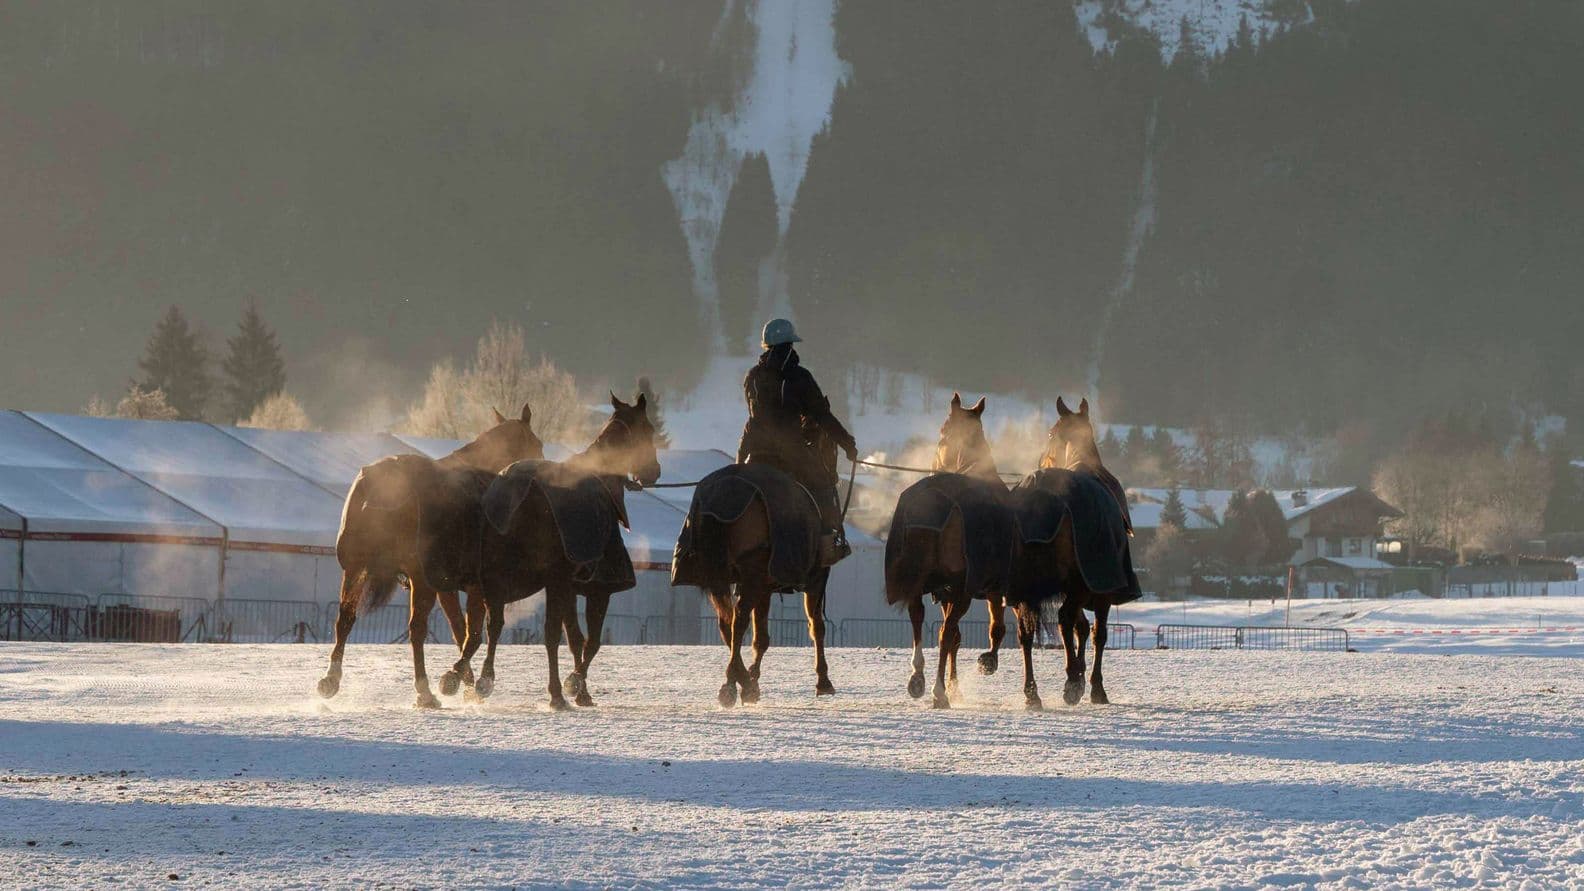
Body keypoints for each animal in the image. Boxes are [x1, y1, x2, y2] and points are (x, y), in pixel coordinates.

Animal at [318, 403, 543, 708]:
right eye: (538, 444)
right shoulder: (465, 585)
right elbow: (470, 633)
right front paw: (462, 681)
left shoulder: (447, 587)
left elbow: (459, 629)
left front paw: (466, 681)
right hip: (417, 580)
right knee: (417, 630)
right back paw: (424, 691)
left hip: (355, 570)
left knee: (345, 619)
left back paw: (331, 679)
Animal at [469, 393, 662, 710]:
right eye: (649, 429)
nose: (654, 472)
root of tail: (522, 490)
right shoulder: (597, 588)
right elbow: (589, 641)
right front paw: (575, 684)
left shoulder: (568, 586)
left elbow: (574, 637)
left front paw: (582, 690)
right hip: (546, 580)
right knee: (547, 634)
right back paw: (556, 692)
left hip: (497, 574)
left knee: (494, 624)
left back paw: (484, 681)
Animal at [671, 440, 841, 707]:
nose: (835, 476)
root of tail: (724, 493)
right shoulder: (816, 578)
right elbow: (817, 627)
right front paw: (823, 681)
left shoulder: (764, 586)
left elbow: (760, 637)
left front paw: (752, 680)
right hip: (754, 572)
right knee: (738, 619)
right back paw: (731, 685)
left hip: (722, 575)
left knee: (727, 621)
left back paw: (741, 682)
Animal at [1012, 396, 1140, 706]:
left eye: (1050, 433)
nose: (1041, 458)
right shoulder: (1098, 588)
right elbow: (1097, 633)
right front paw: (1092, 685)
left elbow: (1082, 628)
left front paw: (1082, 675)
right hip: (1078, 584)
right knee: (1063, 619)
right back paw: (1070, 681)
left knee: (1027, 630)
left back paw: (1032, 693)